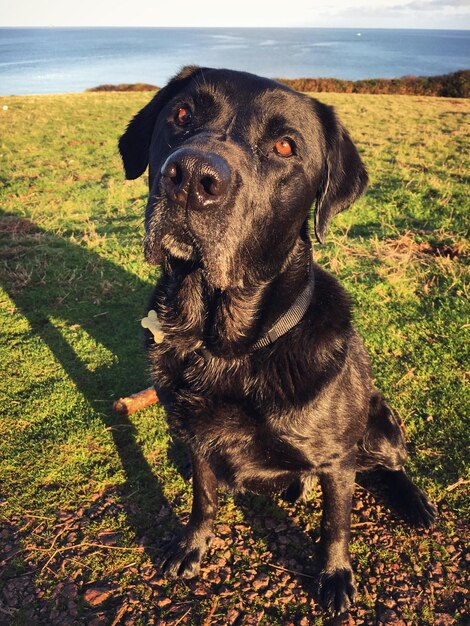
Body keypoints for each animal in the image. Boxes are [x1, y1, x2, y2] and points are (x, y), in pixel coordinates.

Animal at [119, 66, 436, 612]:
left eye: (285, 146)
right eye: (181, 115)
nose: (191, 178)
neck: (228, 348)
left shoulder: (337, 460)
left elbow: (336, 525)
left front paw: (335, 577)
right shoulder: (195, 437)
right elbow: (203, 497)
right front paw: (191, 546)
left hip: (380, 424)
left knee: (391, 465)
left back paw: (412, 502)